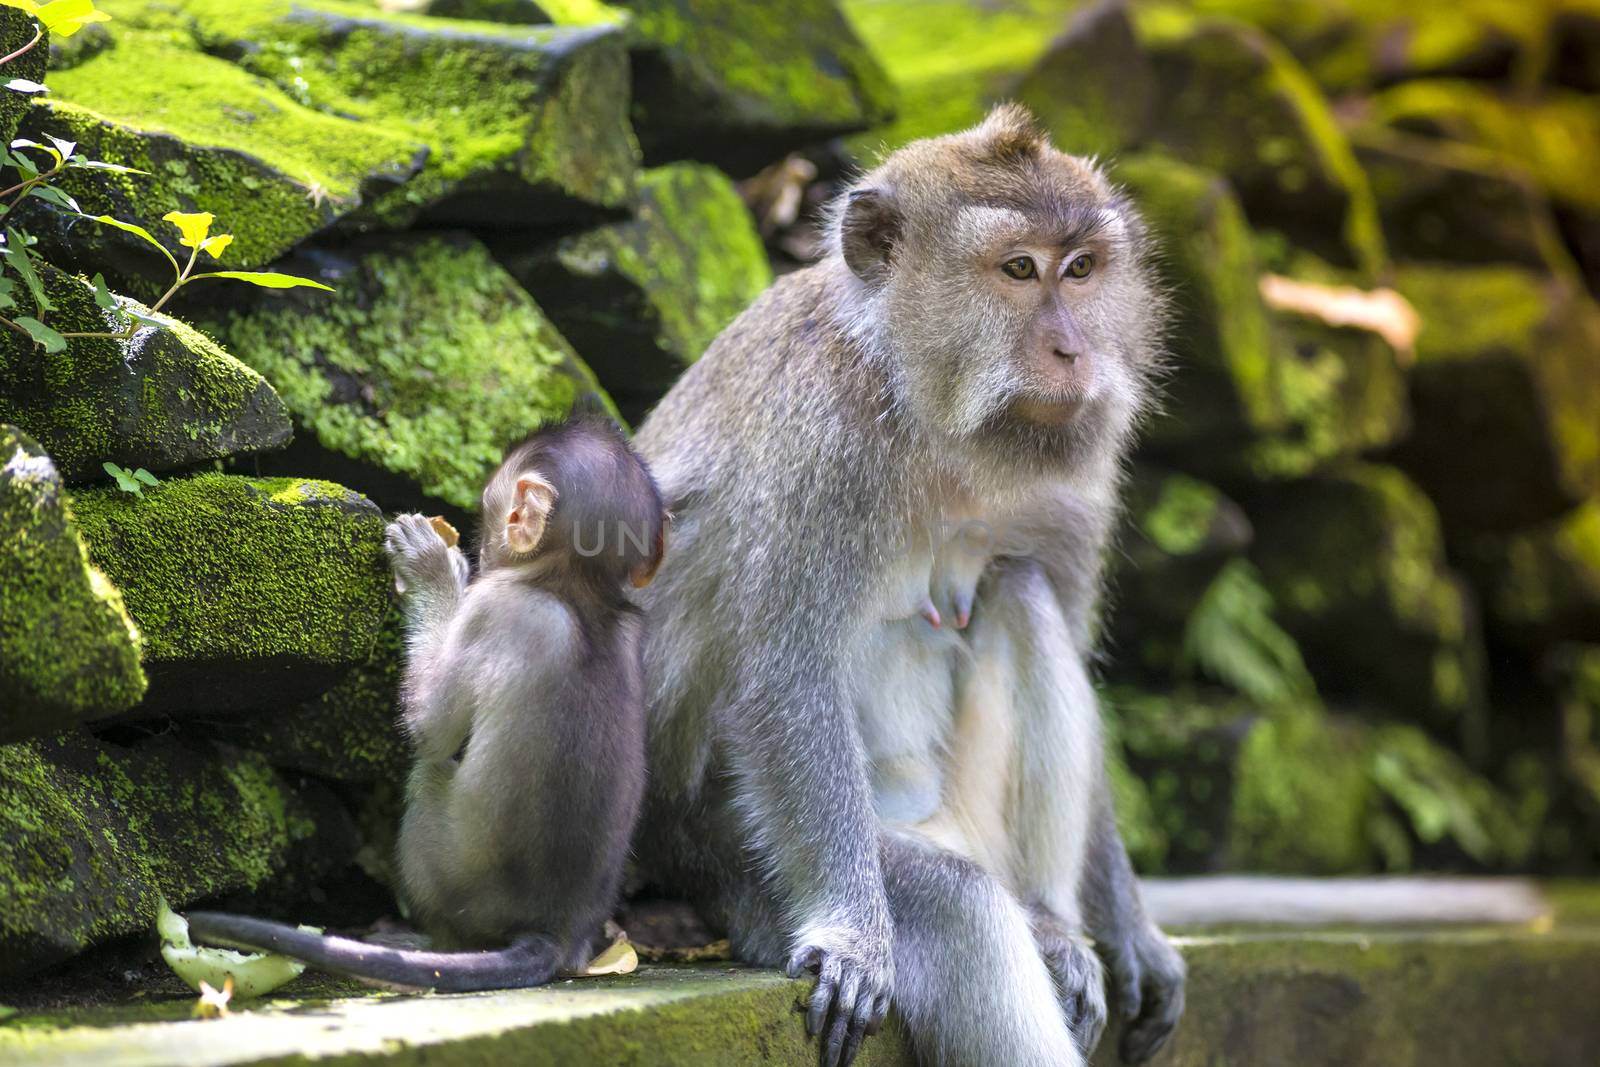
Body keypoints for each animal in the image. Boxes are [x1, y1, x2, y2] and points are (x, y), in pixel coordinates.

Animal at [187, 415, 662, 991]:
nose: (481, 550)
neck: (579, 592)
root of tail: (556, 930)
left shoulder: (492, 609)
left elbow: (429, 727)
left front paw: (433, 568)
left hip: (450, 874)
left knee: (429, 771)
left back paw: (425, 941)